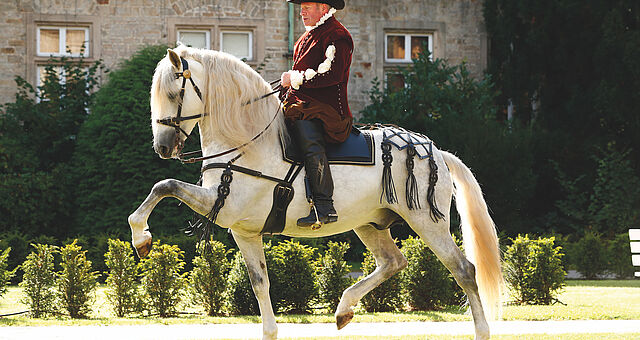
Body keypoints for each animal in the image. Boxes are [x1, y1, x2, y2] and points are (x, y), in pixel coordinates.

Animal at [127, 43, 502, 338]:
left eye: (174, 94)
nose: (163, 147)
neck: (246, 142)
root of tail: (436, 151)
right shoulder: (243, 231)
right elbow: (259, 283)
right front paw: (270, 331)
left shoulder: (223, 207)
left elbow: (165, 186)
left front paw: (141, 238)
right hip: (369, 224)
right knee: (393, 262)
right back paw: (343, 310)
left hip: (428, 222)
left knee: (464, 271)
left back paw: (481, 331)